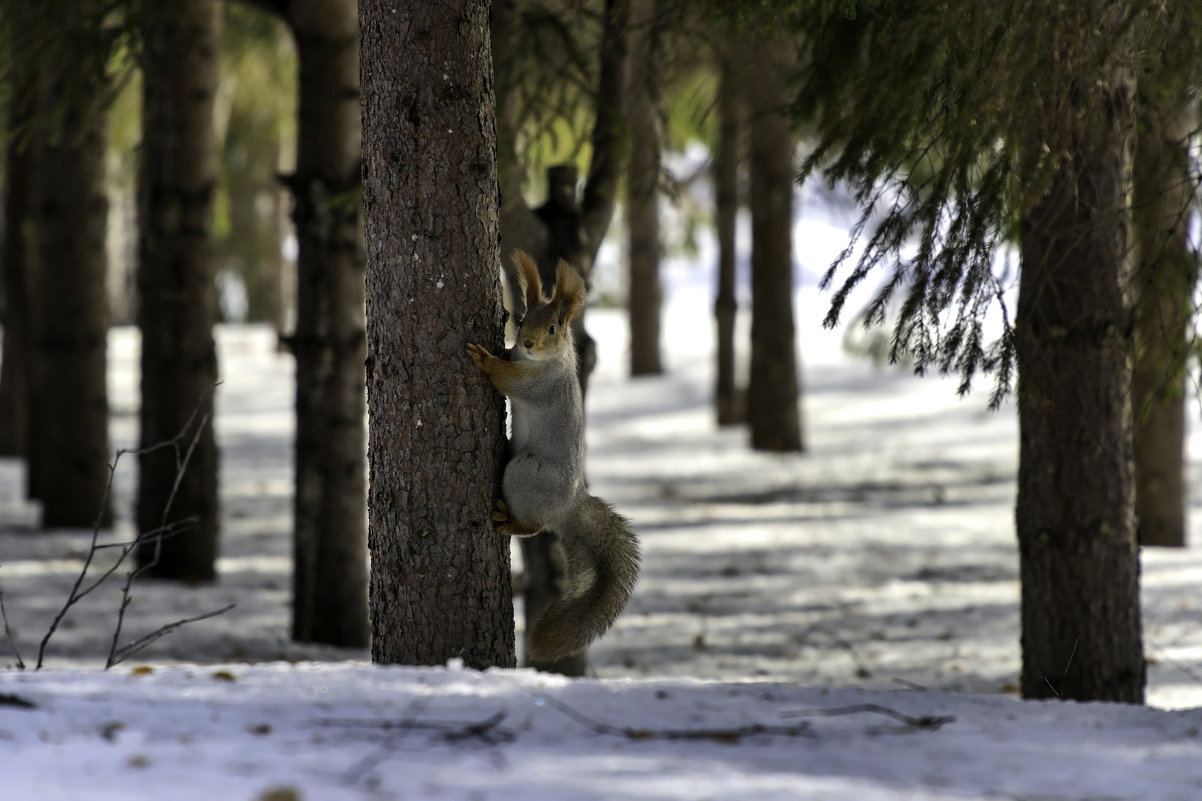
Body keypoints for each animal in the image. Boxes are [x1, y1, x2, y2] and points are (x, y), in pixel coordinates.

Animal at [466, 251, 639, 659]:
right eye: (521, 319)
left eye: (553, 329)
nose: (527, 343)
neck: (536, 361)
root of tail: (569, 505)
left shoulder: (540, 384)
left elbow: (510, 380)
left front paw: (486, 360)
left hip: (524, 474)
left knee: (534, 526)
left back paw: (508, 519)